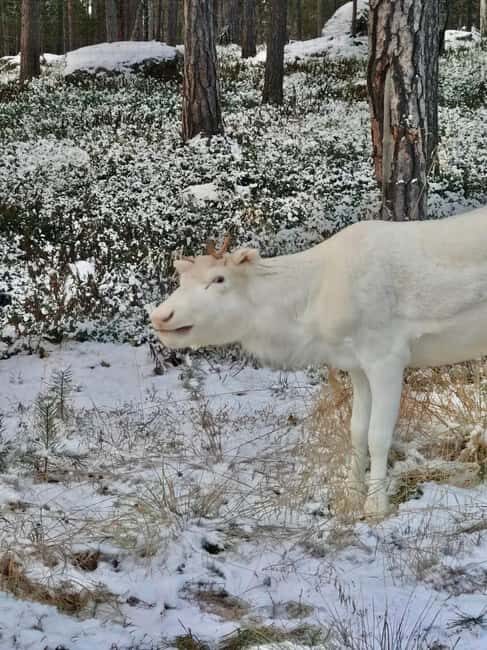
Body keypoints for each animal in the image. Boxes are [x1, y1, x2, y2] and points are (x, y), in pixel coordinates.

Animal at [150, 206, 487, 518]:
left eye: (219, 279)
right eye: (182, 280)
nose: (160, 315)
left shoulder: (387, 356)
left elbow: (378, 435)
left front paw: (375, 506)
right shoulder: (356, 364)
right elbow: (357, 430)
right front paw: (351, 494)